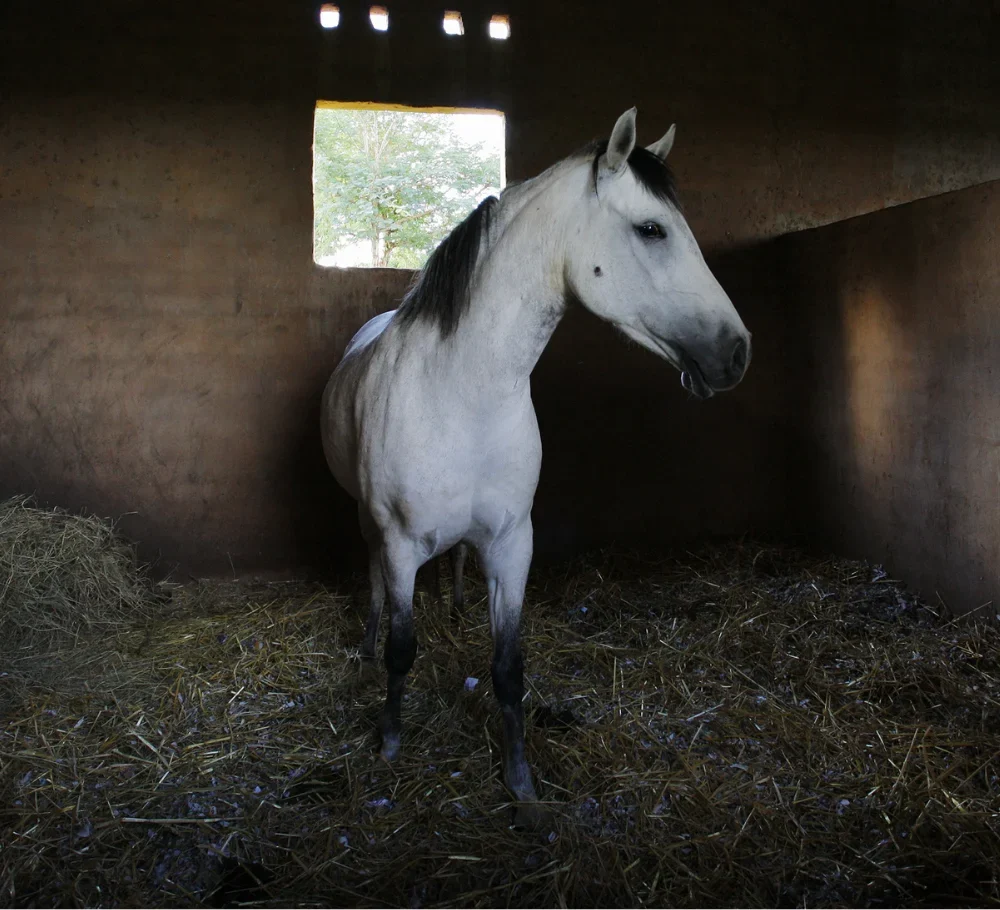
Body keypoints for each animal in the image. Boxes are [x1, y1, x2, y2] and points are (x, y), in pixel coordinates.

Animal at [321, 107, 751, 824]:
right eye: (652, 229)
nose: (738, 352)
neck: (462, 391)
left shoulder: (511, 544)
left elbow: (507, 667)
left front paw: (520, 781)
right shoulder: (402, 542)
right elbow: (403, 649)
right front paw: (389, 741)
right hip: (367, 523)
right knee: (376, 581)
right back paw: (368, 640)